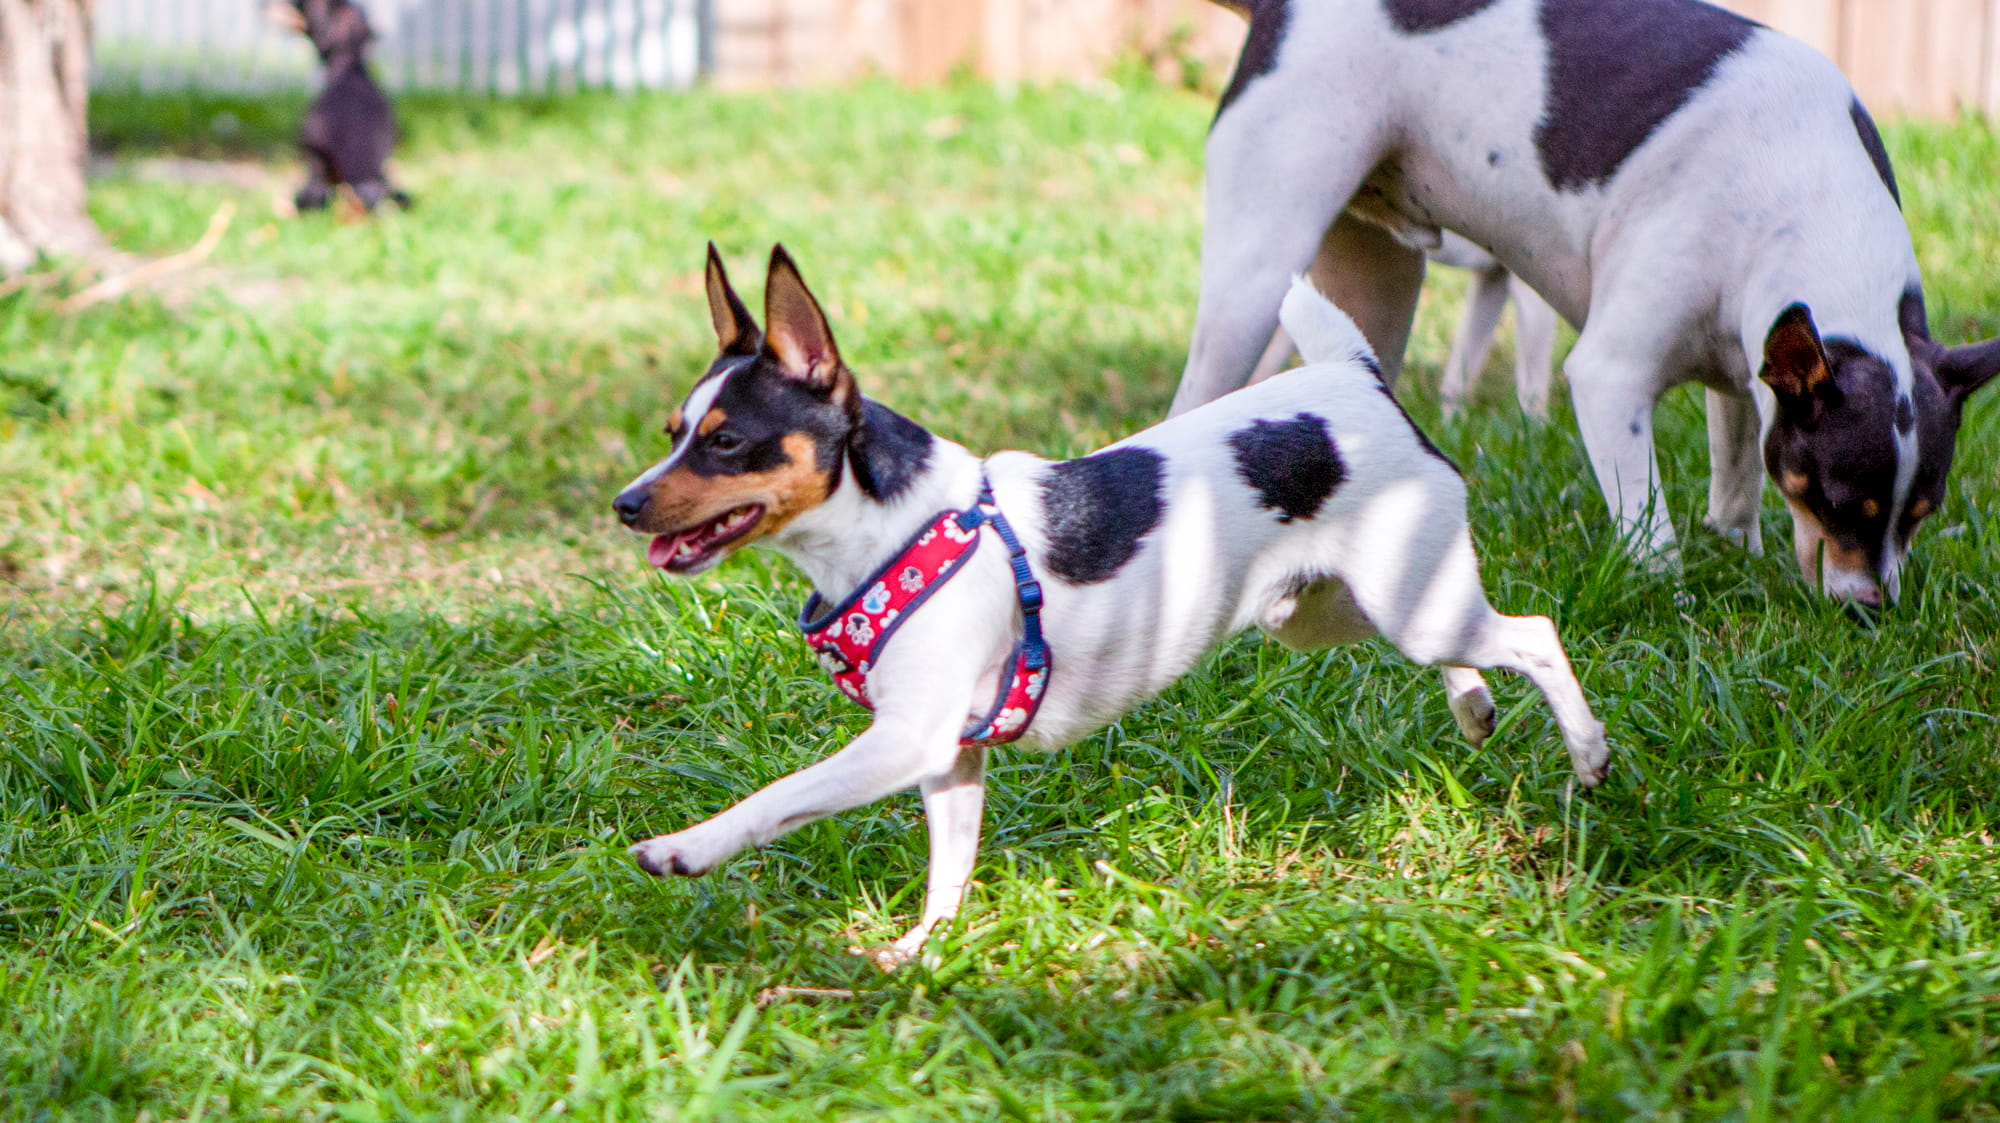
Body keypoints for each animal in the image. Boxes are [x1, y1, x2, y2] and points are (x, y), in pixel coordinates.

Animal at [612, 244, 1608, 963]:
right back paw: (1473, 704)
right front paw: (926, 948)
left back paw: (1588, 752)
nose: (625, 502)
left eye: (724, 442)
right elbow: (949, 870)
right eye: (671, 433)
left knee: (1534, 633)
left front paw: (687, 849)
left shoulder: (907, 740)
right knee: (1470, 639)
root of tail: (1354, 376)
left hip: (1403, 602)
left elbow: (781, 796)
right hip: (1329, 610)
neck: (895, 529)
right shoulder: (950, 760)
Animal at [1176, 0, 1992, 603]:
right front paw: (1671, 605)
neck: (1807, 200)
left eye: (1921, 516)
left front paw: (1738, 556)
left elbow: (1735, 484)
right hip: (1257, 275)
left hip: (1376, 291)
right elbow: (1648, 527)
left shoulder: (1744, 370)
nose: (1872, 610)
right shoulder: (1610, 379)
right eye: (1835, 502)